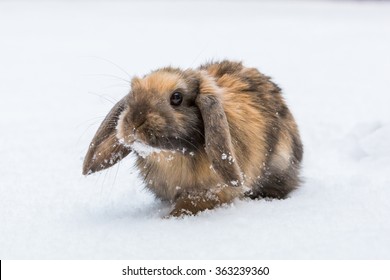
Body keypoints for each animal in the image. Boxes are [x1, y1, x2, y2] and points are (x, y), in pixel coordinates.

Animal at [82, 60, 304, 218]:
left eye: (177, 97)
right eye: (133, 93)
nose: (134, 122)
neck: (172, 157)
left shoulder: (211, 191)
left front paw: (169, 218)